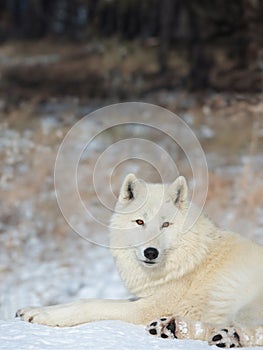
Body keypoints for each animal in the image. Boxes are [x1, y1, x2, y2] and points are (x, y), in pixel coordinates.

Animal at [16, 175, 263, 348]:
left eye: (165, 224)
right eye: (139, 221)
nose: (151, 252)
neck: (192, 259)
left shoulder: (148, 307)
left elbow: (90, 304)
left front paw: (46, 316)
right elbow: (83, 299)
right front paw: (33, 310)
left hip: (241, 300)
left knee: (250, 332)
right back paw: (171, 328)